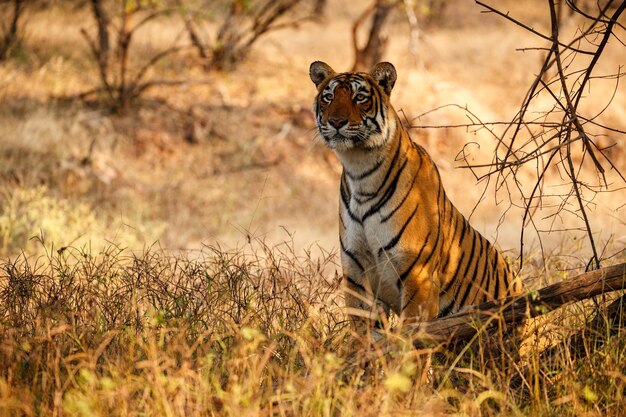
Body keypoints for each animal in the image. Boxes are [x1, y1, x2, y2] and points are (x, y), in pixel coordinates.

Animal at [308, 59, 520, 324]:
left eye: (359, 97)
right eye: (328, 97)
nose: (336, 122)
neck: (360, 169)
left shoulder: (417, 273)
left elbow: (411, 332)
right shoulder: (356, 272)